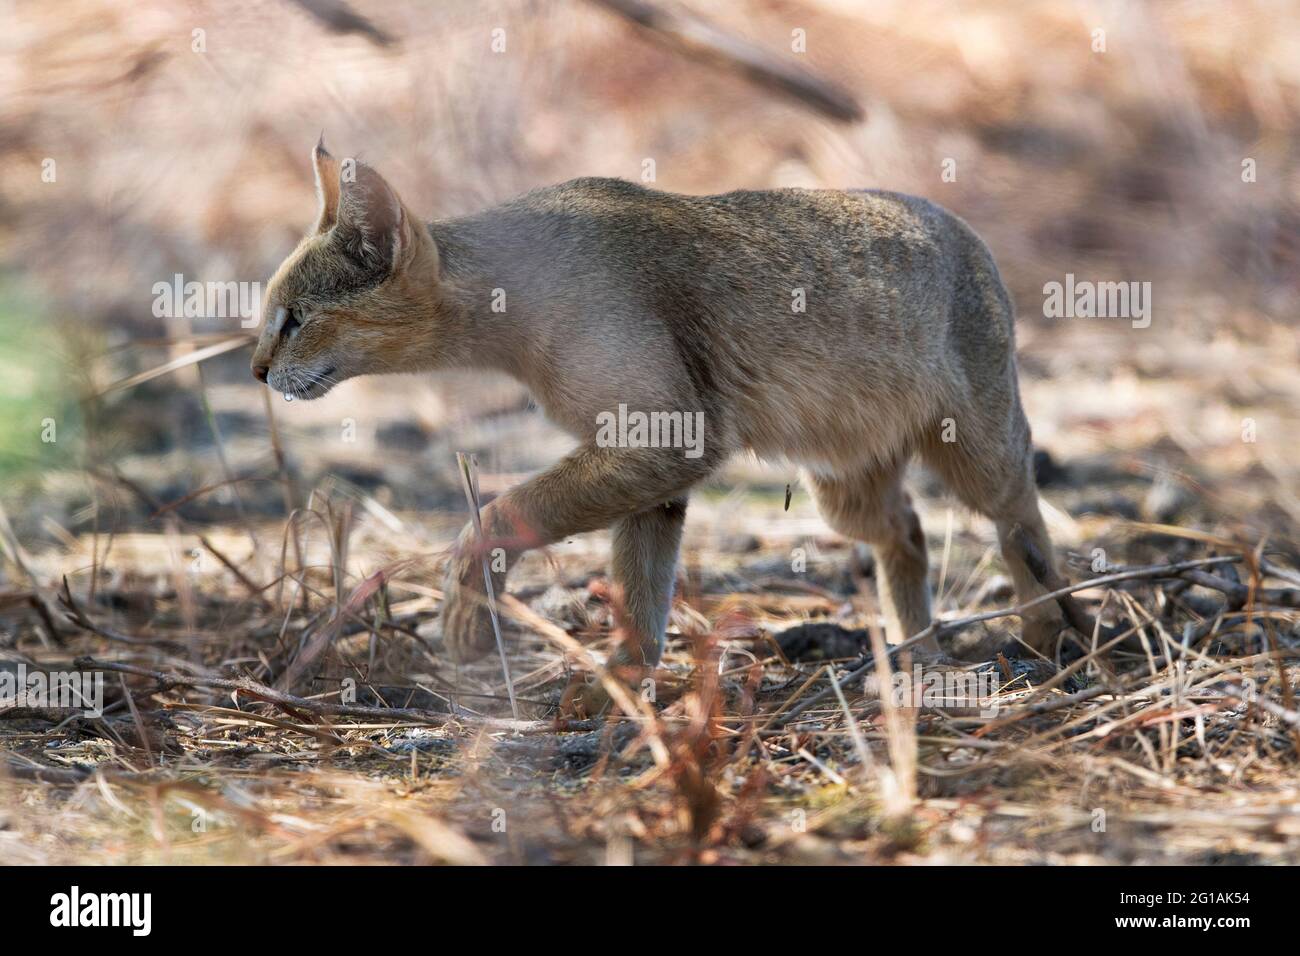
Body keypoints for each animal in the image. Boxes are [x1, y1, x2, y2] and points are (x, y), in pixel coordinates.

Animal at [248, 140, 1071, 686]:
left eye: (294, 318)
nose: (255, 369)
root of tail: (956, 223)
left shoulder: (665, 437)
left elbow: (503, 509)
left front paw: (470, 609)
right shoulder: (650, 462)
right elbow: (641, 588)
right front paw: (620, 685)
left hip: (978, 450)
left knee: (1023, 519)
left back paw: (1049, 631)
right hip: (845, 485)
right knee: (908, 526)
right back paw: (920, 647)